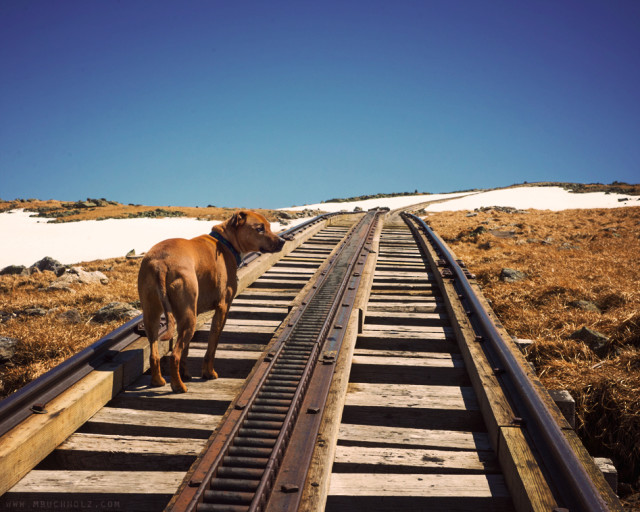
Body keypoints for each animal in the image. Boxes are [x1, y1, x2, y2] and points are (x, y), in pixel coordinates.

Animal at [138, 210, 284, 394]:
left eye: (270, 227)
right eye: (259, 228)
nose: (282, 241)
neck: (225, 242)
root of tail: (161, 263)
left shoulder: (193, 313)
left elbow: (186, 351)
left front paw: (186, 373)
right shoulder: (223, 308)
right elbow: (212, 346)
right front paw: (208, 373)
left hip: (154, 317)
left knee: (155, 353)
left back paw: (158, 381)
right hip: (188, 319)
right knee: (174, 355)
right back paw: (178, 386)